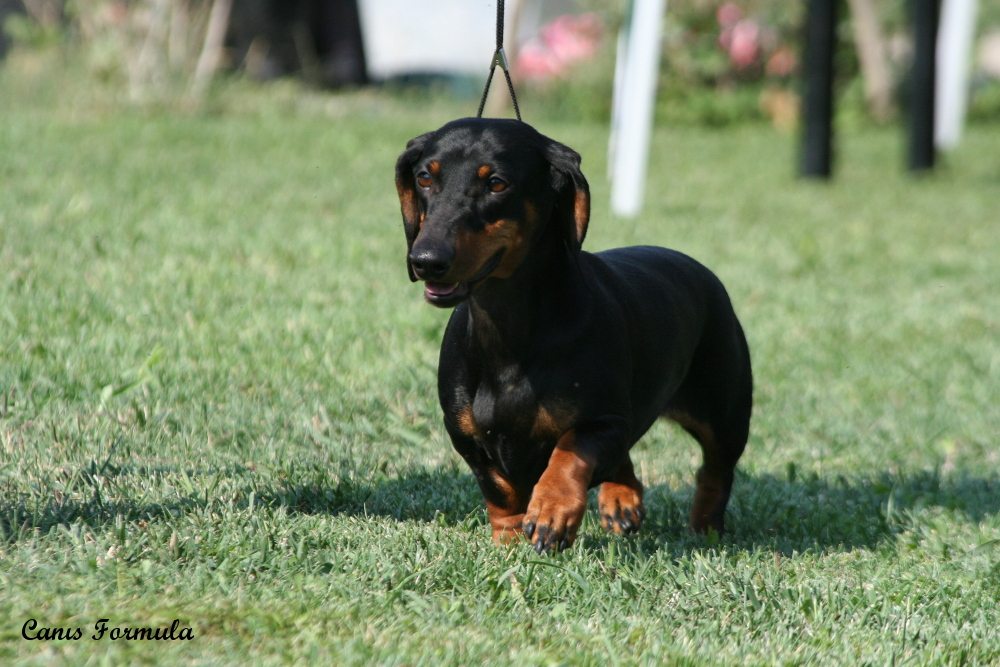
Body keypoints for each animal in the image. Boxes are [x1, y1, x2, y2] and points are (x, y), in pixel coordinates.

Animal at [396, 118, 752, 552]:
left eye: (496, 183)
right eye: (425, 177)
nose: (426, 261)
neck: (510, 331)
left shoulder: (604, 420)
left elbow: (569, 450)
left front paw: (552, 511)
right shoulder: (466, 437)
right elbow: (499, 490)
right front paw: (508, 538)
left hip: (724, 415)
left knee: (715, 471)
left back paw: (706, 528)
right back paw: (621, 501)